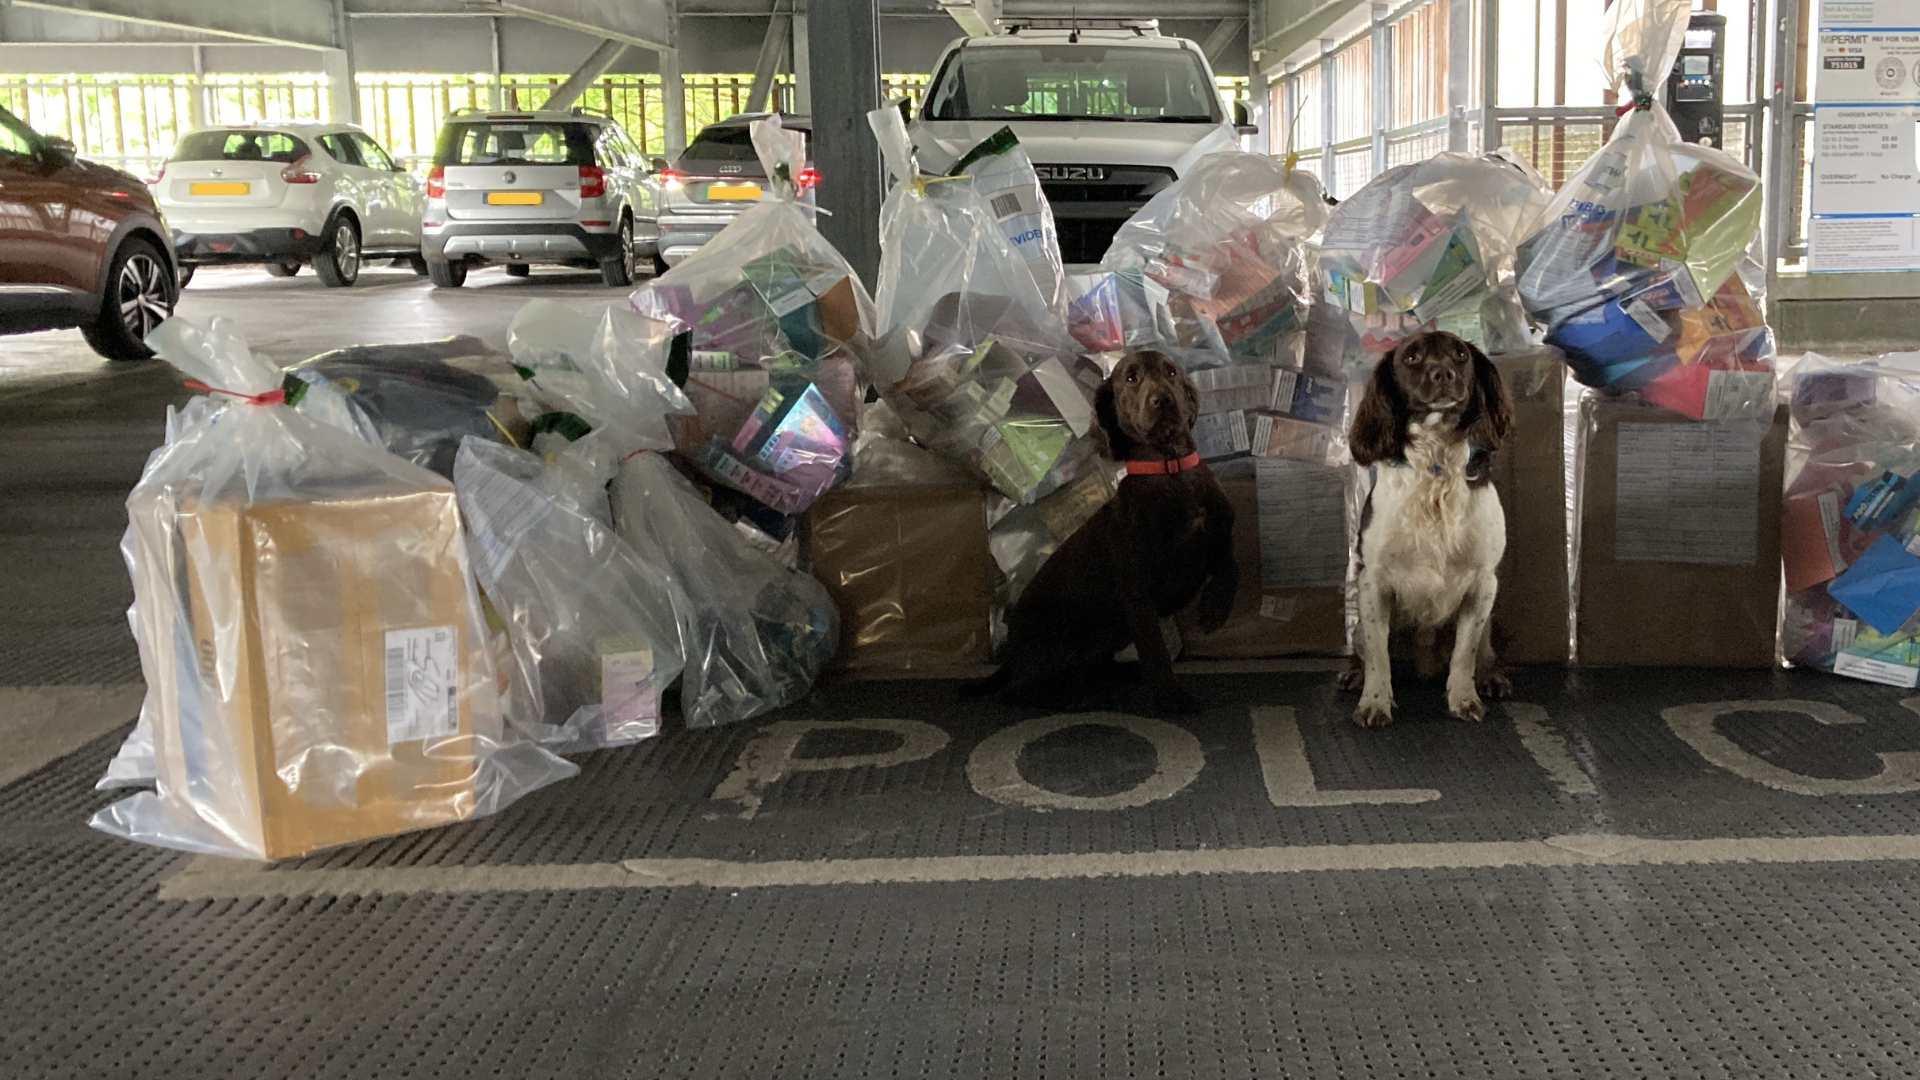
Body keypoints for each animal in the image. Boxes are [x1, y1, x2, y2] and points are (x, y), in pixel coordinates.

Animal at [967, 349, 1236, 711]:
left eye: (1171, 372)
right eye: (1131, 378)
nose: (1161, 399)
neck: (1170, 468)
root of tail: (1011, 656)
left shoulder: (1217, 533)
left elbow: (1229, 562)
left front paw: (1215, 609)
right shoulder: (1136, 587)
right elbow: (1154, 647)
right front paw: (1171, 698)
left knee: (1090, 665)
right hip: (1061, 638)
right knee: (1016, 692)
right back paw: (1068, 697)